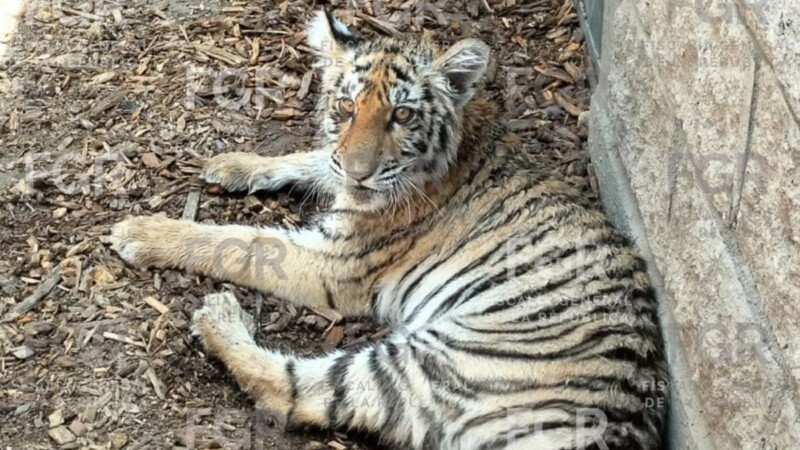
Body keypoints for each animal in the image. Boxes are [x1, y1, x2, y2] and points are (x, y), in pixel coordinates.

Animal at [109, 10, 668, 450]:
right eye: (345, 107)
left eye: (402, 114)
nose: (360, 173)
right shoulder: (338, 177)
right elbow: (313, 158)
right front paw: (232, 164)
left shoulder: (335, 263)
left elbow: (239, 242)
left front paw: (141, 232)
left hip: (442, 360)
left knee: (298, 391)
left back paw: (218, 317)